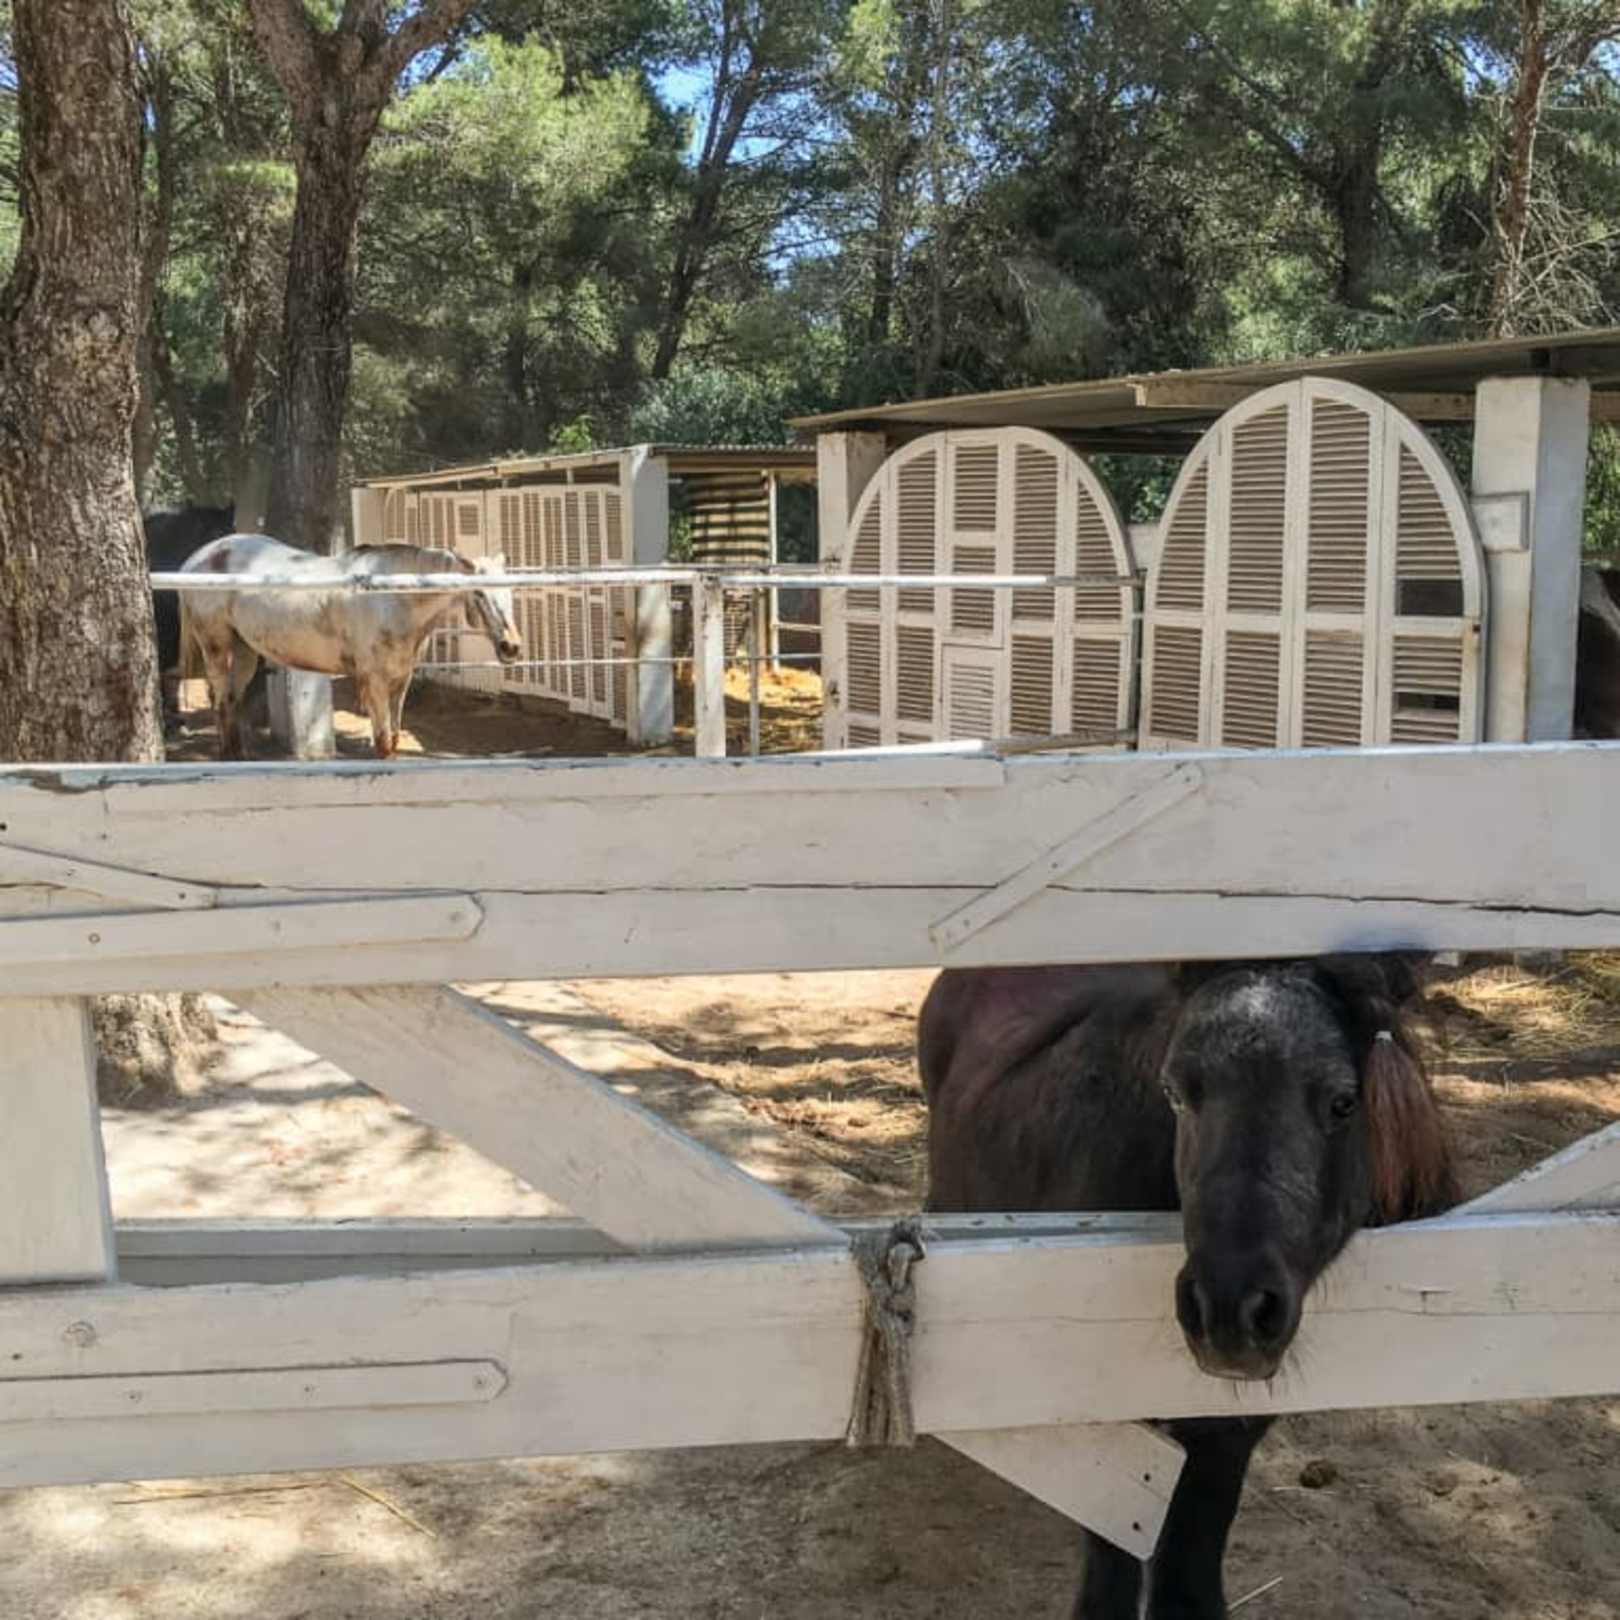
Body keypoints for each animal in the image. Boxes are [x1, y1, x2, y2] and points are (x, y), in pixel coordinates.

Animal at [177, 534, 522, 760]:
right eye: (478, 592)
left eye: (511, 590)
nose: (511, 647)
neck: (394, 597)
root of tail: (197, 558)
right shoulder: (375, 681)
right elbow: (382, 744)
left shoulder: (401, 680)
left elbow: (394, 739)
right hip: (216, 647)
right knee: (221, 701)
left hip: (245, 650)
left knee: (229, 701)